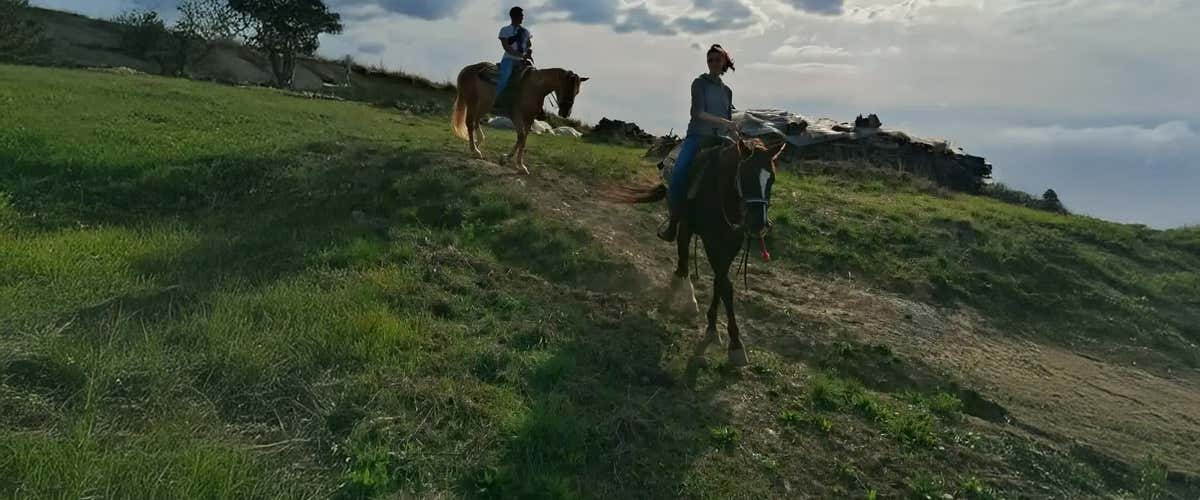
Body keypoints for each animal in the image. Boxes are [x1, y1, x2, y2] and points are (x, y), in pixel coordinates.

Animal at [451, 62, 588, 174]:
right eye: (567, 88)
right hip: (472, 103)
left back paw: (478, 142)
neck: (535, 87)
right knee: (470, 123)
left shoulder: (529, 119)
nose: (565, 113)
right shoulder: (516, 116)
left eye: (577, 92)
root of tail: (466, 69)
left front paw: (515, 163)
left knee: (476, 122)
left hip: (483, 105)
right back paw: (475, 151)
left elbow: (523, 139)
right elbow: (521, 136)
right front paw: (512, 161)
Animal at [610, 137, 784, 366]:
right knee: (683, 258)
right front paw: (735, 344)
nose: (758, 225)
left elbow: (720, 283)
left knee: (684, 259)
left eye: (771, 179)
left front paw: (712, 329)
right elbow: (726, 286)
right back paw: (685, 296)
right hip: (684, 225)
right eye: (745, 175)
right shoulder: (711, 241)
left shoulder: (731, 244)